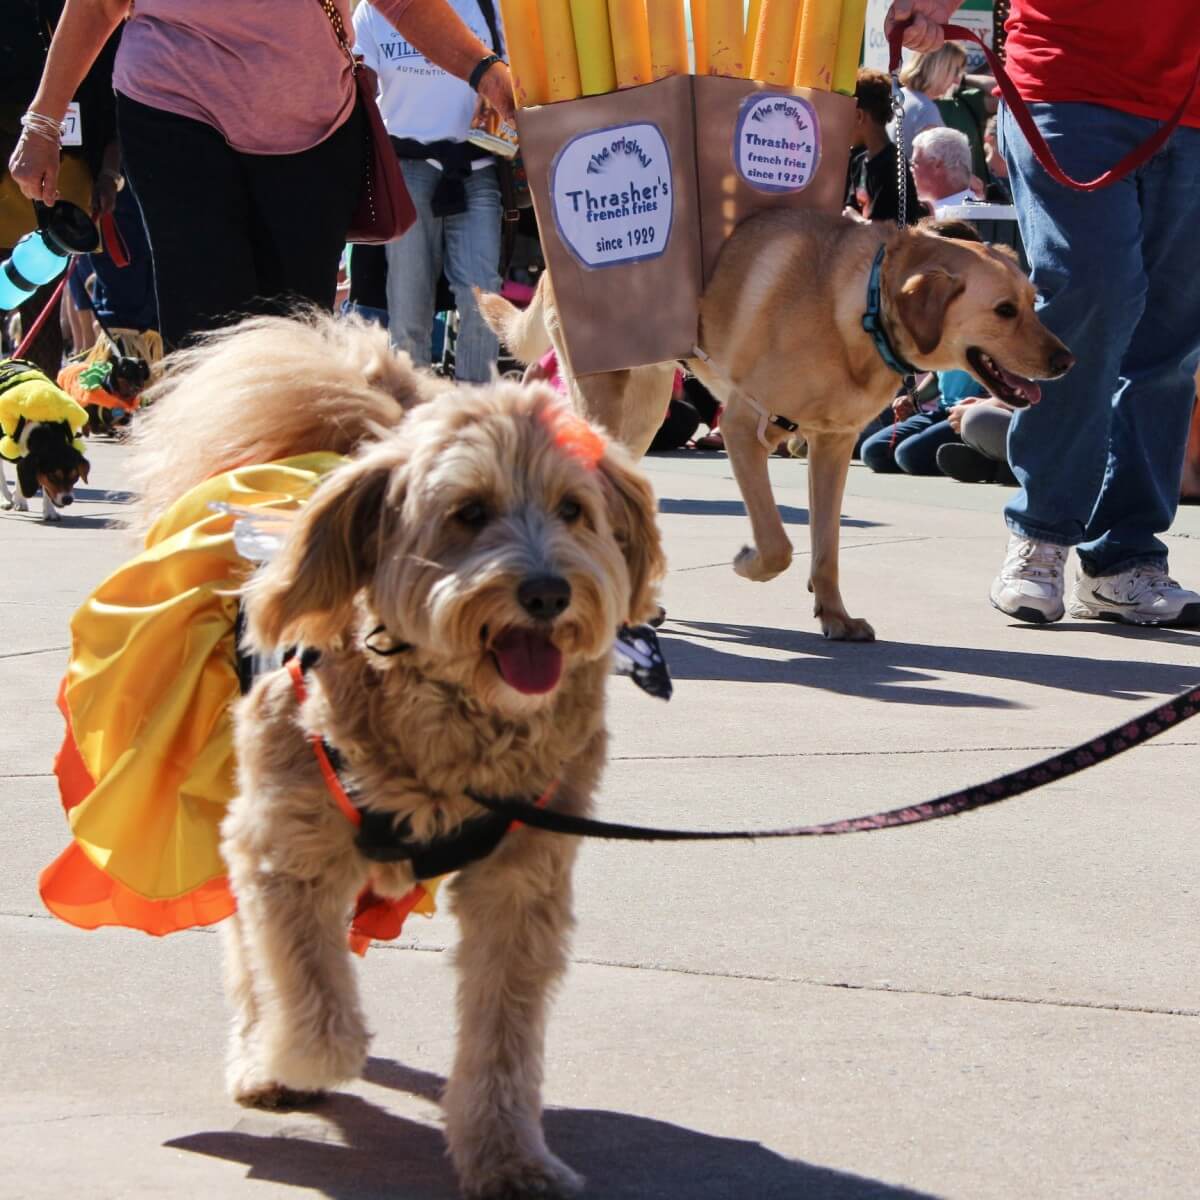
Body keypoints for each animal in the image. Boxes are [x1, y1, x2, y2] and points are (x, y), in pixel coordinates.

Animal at [139, 312, 672, 1200]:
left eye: (573, 509)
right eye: (468, 512)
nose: (547, 592)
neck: (452, 725)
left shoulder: (521, 886)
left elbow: (502, 1043)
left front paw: (508, 1156)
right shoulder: (284, 853)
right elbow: (315, 1010)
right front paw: (288, 1059)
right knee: (248, 950)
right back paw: (259, 1055)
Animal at [482, 213, 1075, 648]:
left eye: (1033, 302)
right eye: (1004, 310)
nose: (1068, 360)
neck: (861, 308)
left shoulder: (831, 445)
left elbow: (825, 545)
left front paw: (834, 615)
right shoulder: (742, 426)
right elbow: (778, 544)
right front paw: (748, 564)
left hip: (645, 409)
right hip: (606, 395)